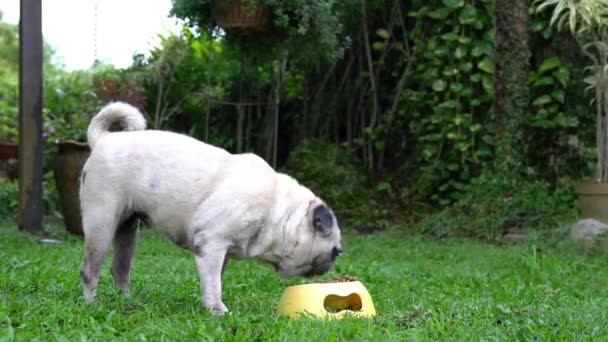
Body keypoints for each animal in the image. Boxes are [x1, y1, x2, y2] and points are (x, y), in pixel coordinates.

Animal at [78, 101, 342, 316]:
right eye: (335, 250)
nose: (337, 256)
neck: (278, 213)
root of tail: (103, 139)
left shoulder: (219, 252)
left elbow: (214, 280)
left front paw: (208, 304)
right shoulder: (212, 244)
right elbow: (214, 283)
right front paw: (217, 309)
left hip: (127, 229)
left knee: (120, 269)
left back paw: (126, 302)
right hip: (101, 225)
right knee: (89, 270)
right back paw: (92, 304)